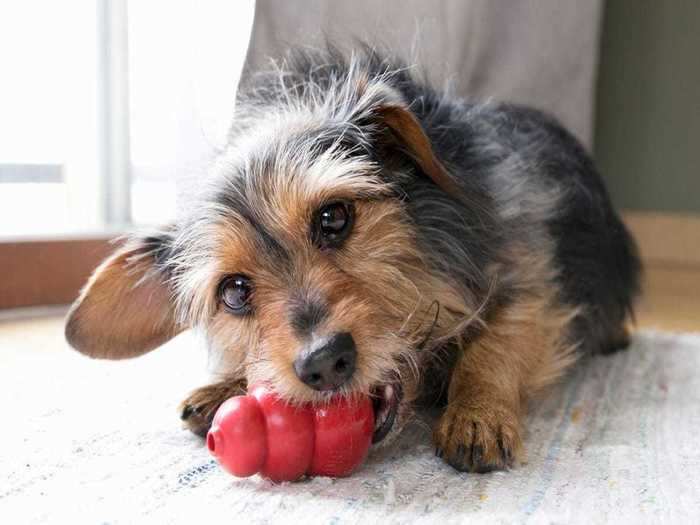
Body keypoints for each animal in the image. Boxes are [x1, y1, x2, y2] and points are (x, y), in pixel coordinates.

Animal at [65, 47, 640, 472]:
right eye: (234, 291)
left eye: (334, 217)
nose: (323, 362)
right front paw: (224, 385)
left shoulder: (533, 281)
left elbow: (494, 344)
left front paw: (477, 412)